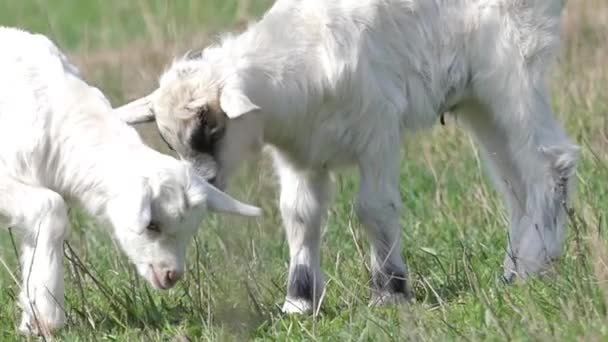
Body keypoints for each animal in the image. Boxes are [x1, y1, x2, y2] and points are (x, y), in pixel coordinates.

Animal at [0, 27, 258, 336]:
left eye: (189, 230)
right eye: (151, 225)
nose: (171, 275)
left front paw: (34, 320)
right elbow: (51, 207)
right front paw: (48, 318)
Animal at [117, 0, 580, 314]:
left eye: (210, 128)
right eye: (168, 141)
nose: (204, 185)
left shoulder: (378, 132)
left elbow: (373, 209)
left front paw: (390, 292)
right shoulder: (300, 155)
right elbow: (299, 215)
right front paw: (299, 302)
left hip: (513, 67)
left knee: (548, 161)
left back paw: (529, 264)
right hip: (477, 98)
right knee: (514, 181)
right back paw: (518, 269)